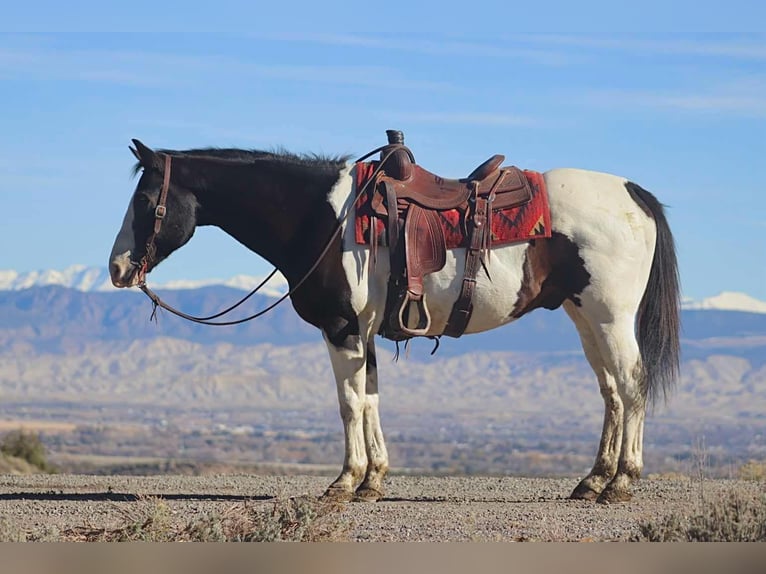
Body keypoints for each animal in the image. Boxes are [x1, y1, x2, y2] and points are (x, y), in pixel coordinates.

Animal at [109, 137, 680, 504]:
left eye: (145, 200)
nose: (116, 268)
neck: (323, 219)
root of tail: (634, 194)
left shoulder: (341, 328)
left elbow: (348, 403)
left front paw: (345, 481)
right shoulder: (364, 332)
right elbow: (371, 399)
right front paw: (373, 480)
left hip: (610, 316)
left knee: (632, 383)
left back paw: (622, 482)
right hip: (586, 316)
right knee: (611, 391)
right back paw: (592, 481)